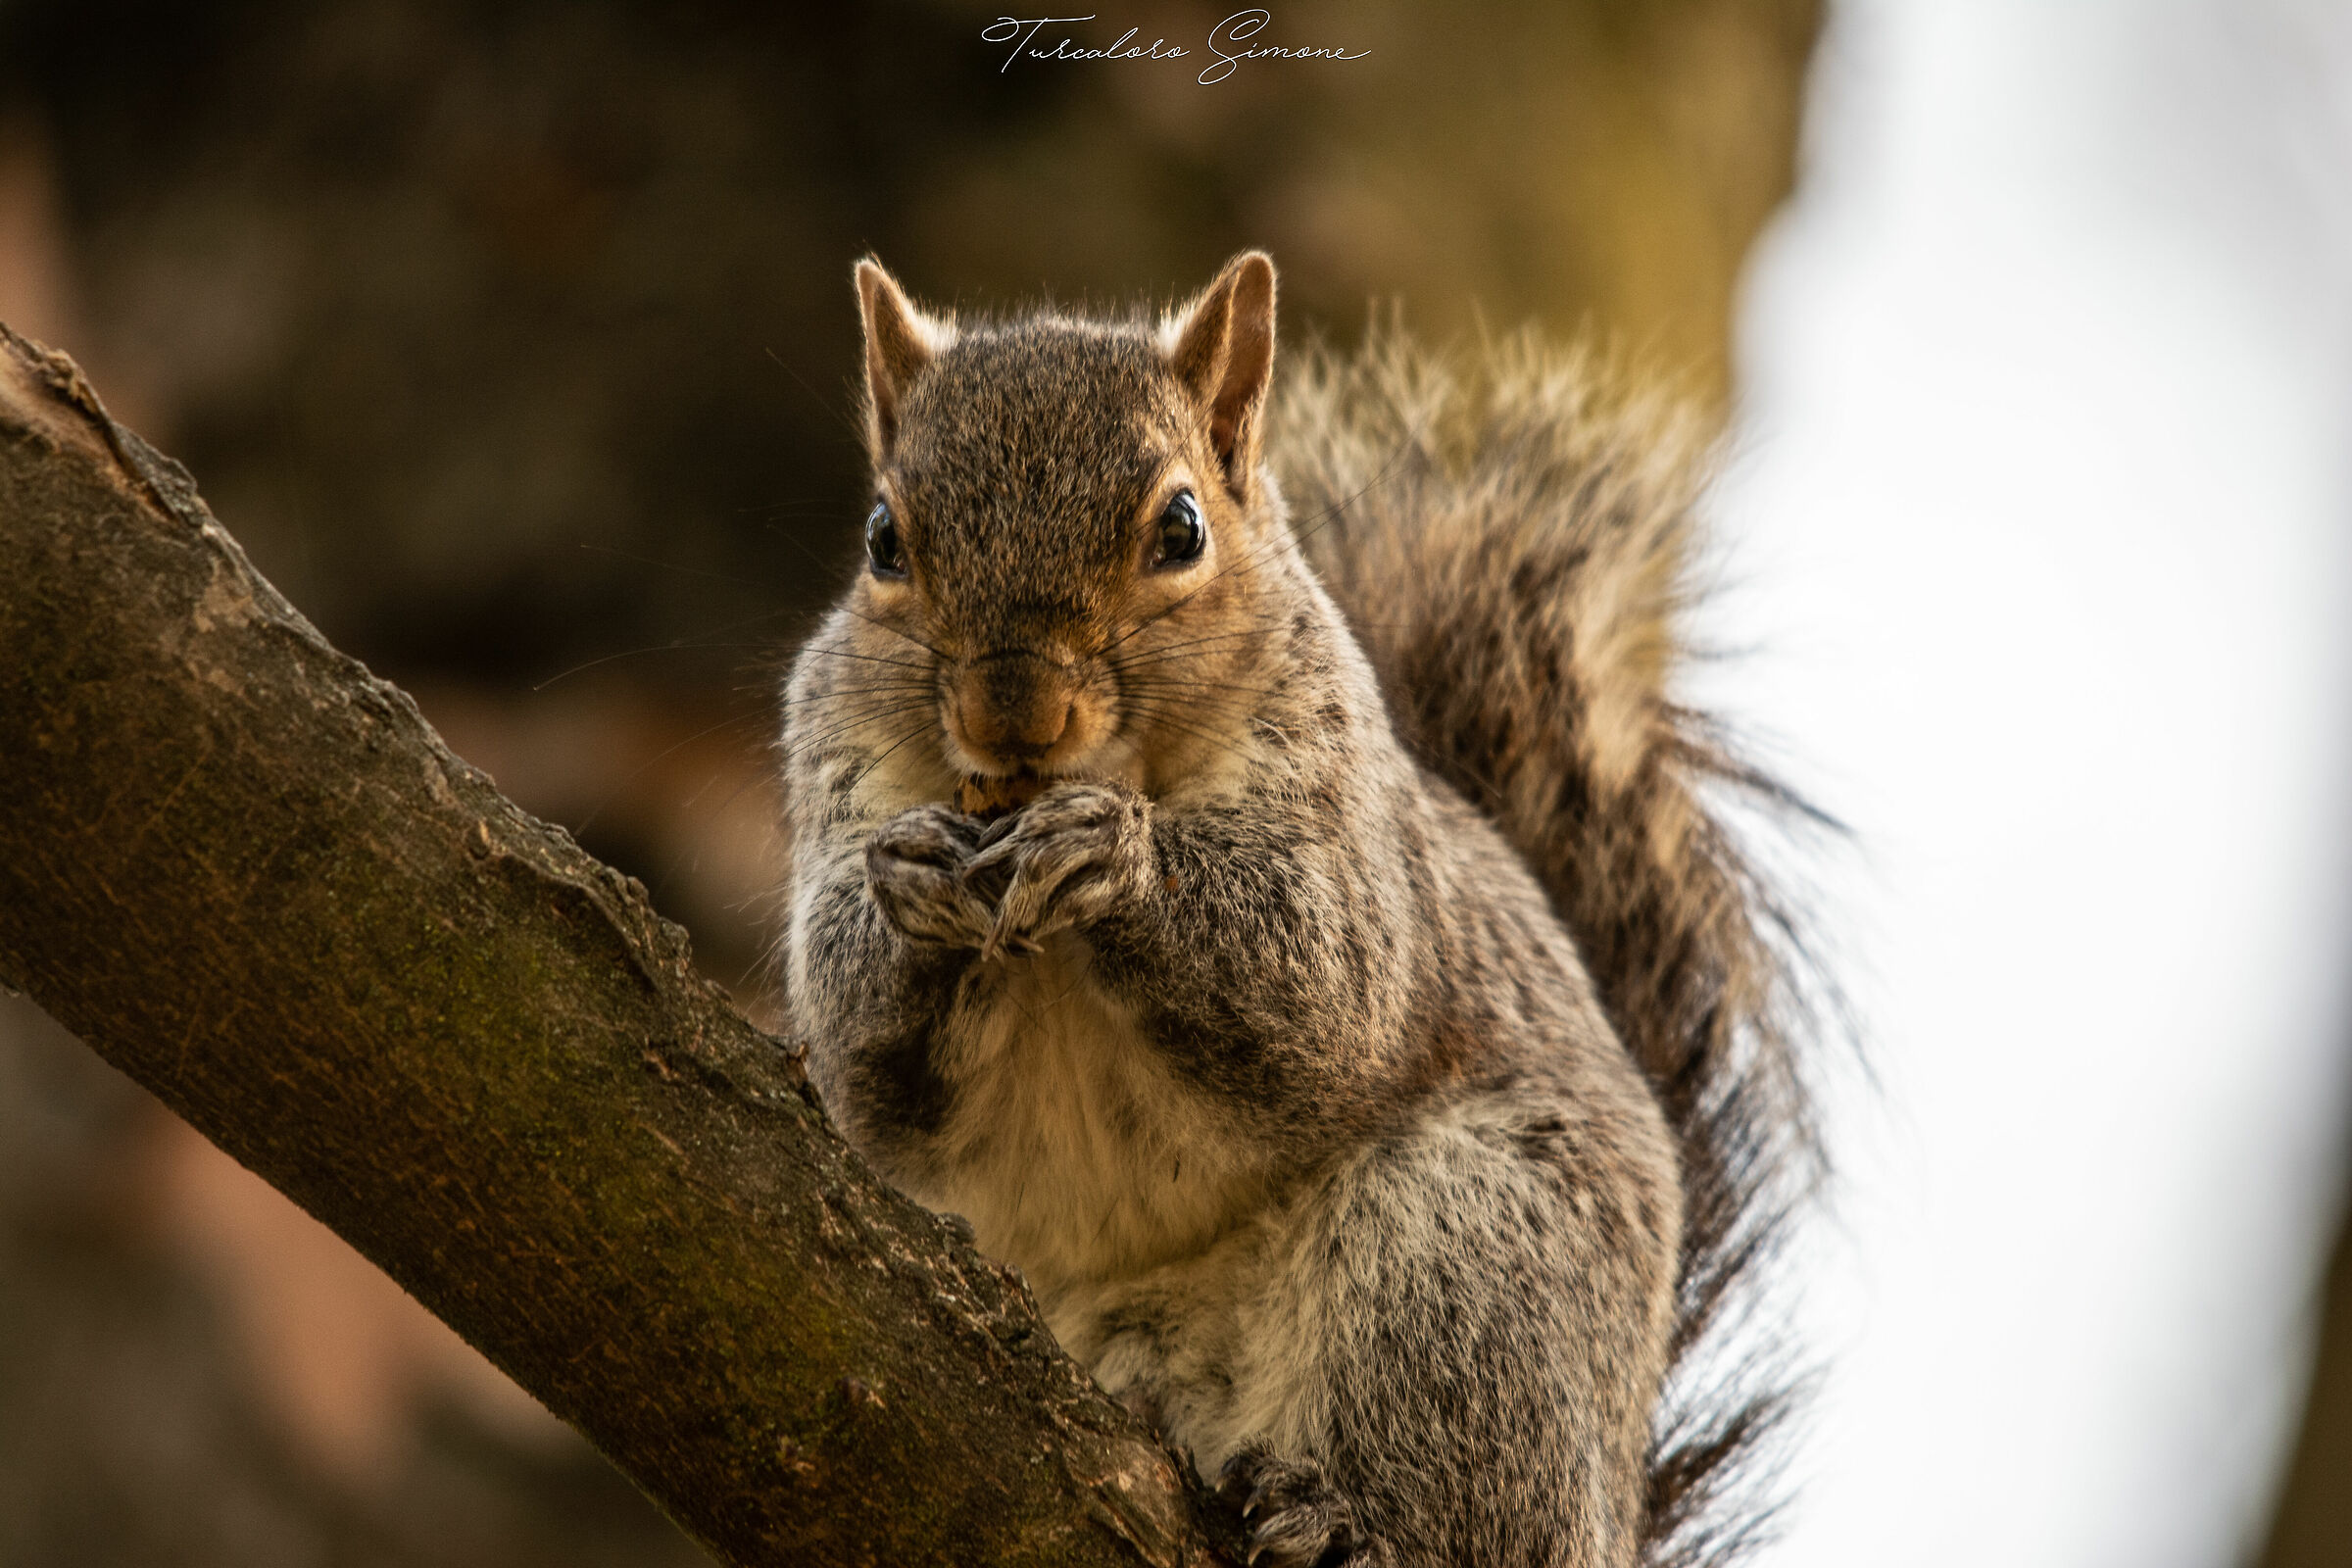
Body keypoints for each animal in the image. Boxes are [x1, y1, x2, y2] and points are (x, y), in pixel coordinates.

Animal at [779, 252, 1819, 1568]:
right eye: (883, 540)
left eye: (1181, 528)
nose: (1013, 712)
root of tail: (1614, 1514)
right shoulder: (832, 767)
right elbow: (863, 1062)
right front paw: (908, 885)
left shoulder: (1346, 823)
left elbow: (1323, 982)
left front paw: (1115, 858)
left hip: (1466, 1262)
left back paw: (1347, 1520)